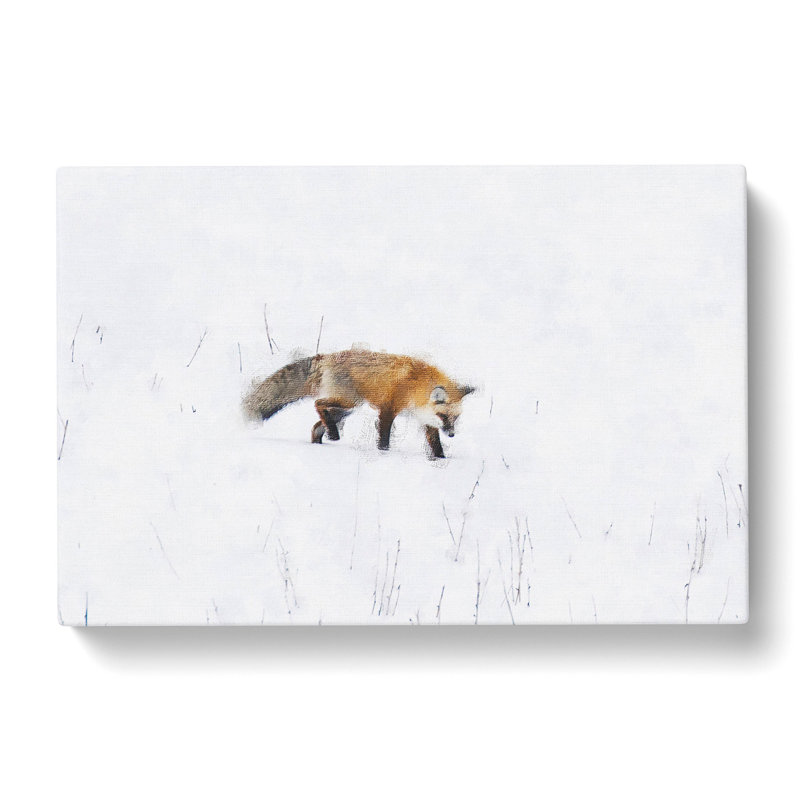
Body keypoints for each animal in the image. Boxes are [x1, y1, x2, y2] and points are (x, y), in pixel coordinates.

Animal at [243, 349, 475, 458]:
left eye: (455, 418)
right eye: (444, 416)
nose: (452, 434)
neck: (416, 386)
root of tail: (326, 357)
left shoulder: (426, 419)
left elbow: (436, 446)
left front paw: (442, 461)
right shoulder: (388, 409)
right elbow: (384, 439)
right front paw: (383, 455)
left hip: (345, 410)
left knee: (317, 426)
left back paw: (324, 440)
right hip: (348, 401)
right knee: (318, 403)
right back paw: (333, 435)